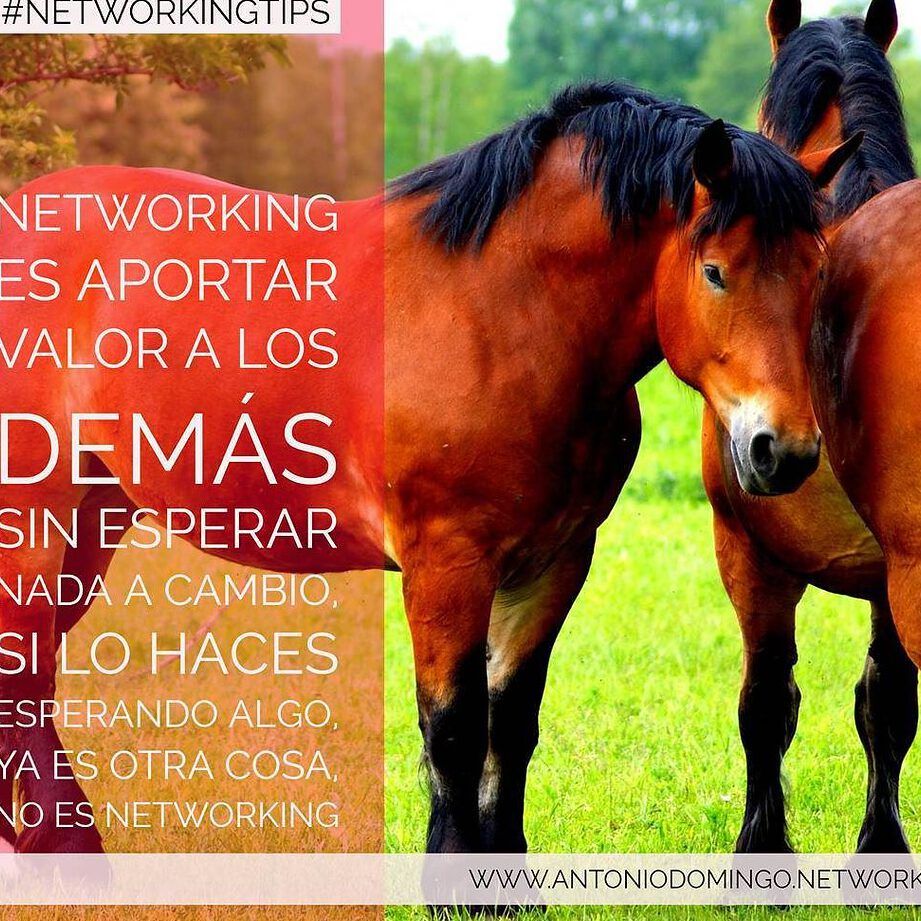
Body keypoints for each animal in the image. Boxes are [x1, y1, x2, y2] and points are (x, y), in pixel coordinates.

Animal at [0, 81, 855, 857]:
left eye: (818, 273)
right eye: (714, 270)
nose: (783, 449)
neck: (503, 314)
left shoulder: (551, 562)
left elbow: (511, 723)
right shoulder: (446, 563)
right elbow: (453, 729)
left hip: (92, 520)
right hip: (34, 520)